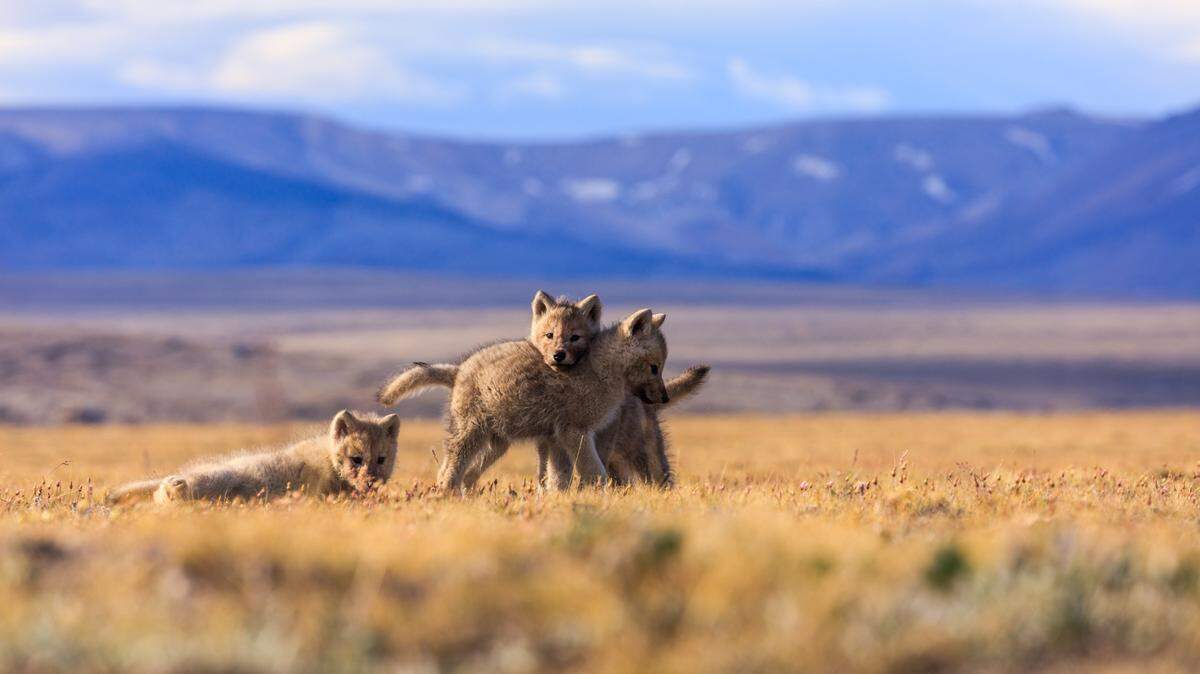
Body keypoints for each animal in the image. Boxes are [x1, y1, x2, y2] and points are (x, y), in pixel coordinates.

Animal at [378, 309, 669, 491]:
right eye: (654, 367)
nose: (665, 398)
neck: (601, 371)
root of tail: (458, 370)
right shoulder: (575, 432)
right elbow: (595, 472)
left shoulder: (557, 438)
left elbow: (559, 478)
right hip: (471, 434)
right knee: (449, 472)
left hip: (496, 443)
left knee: (466, 475)